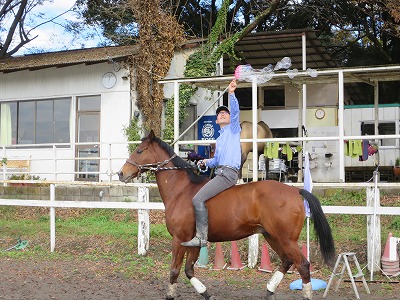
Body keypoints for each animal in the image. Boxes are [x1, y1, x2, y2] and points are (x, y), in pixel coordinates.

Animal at [118, 131, 334, 300]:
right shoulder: (194, 242)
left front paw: (170, 294)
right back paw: (269, 291)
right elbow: (188, 270)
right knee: (287, 262)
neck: (181, 191)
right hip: (272, 236)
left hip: (285, 238)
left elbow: (174, 271)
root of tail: (296, 191)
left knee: (303, 265)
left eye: (140, 151)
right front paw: (206, 294)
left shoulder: (179, 239)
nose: (121, 173)